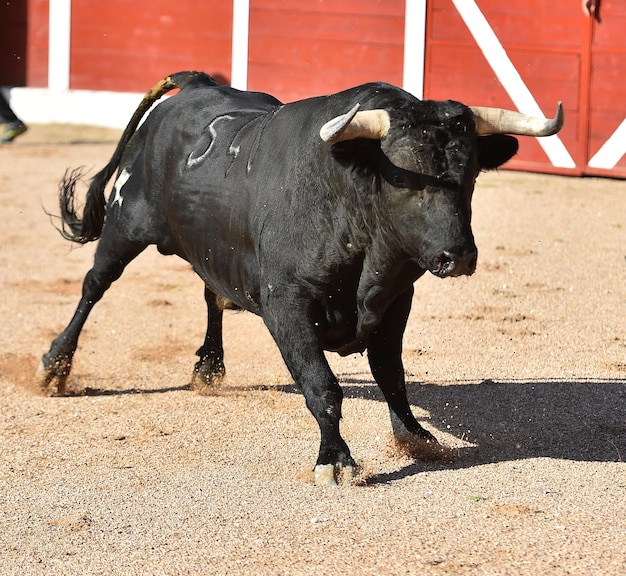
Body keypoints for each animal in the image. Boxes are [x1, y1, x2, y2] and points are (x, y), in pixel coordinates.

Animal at [35, 72, 560, 486]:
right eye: (402, 177)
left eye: (470, 175)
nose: (459, 256)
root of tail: (197, 83)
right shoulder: (286, 305)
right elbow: (321, 385)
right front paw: (336, 460)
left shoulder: (396, 300)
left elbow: (391, 374)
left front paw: (415, 436)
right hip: (125, 223)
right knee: (94, 286)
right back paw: (55, 366)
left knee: (211, 295)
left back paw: (209, 368)